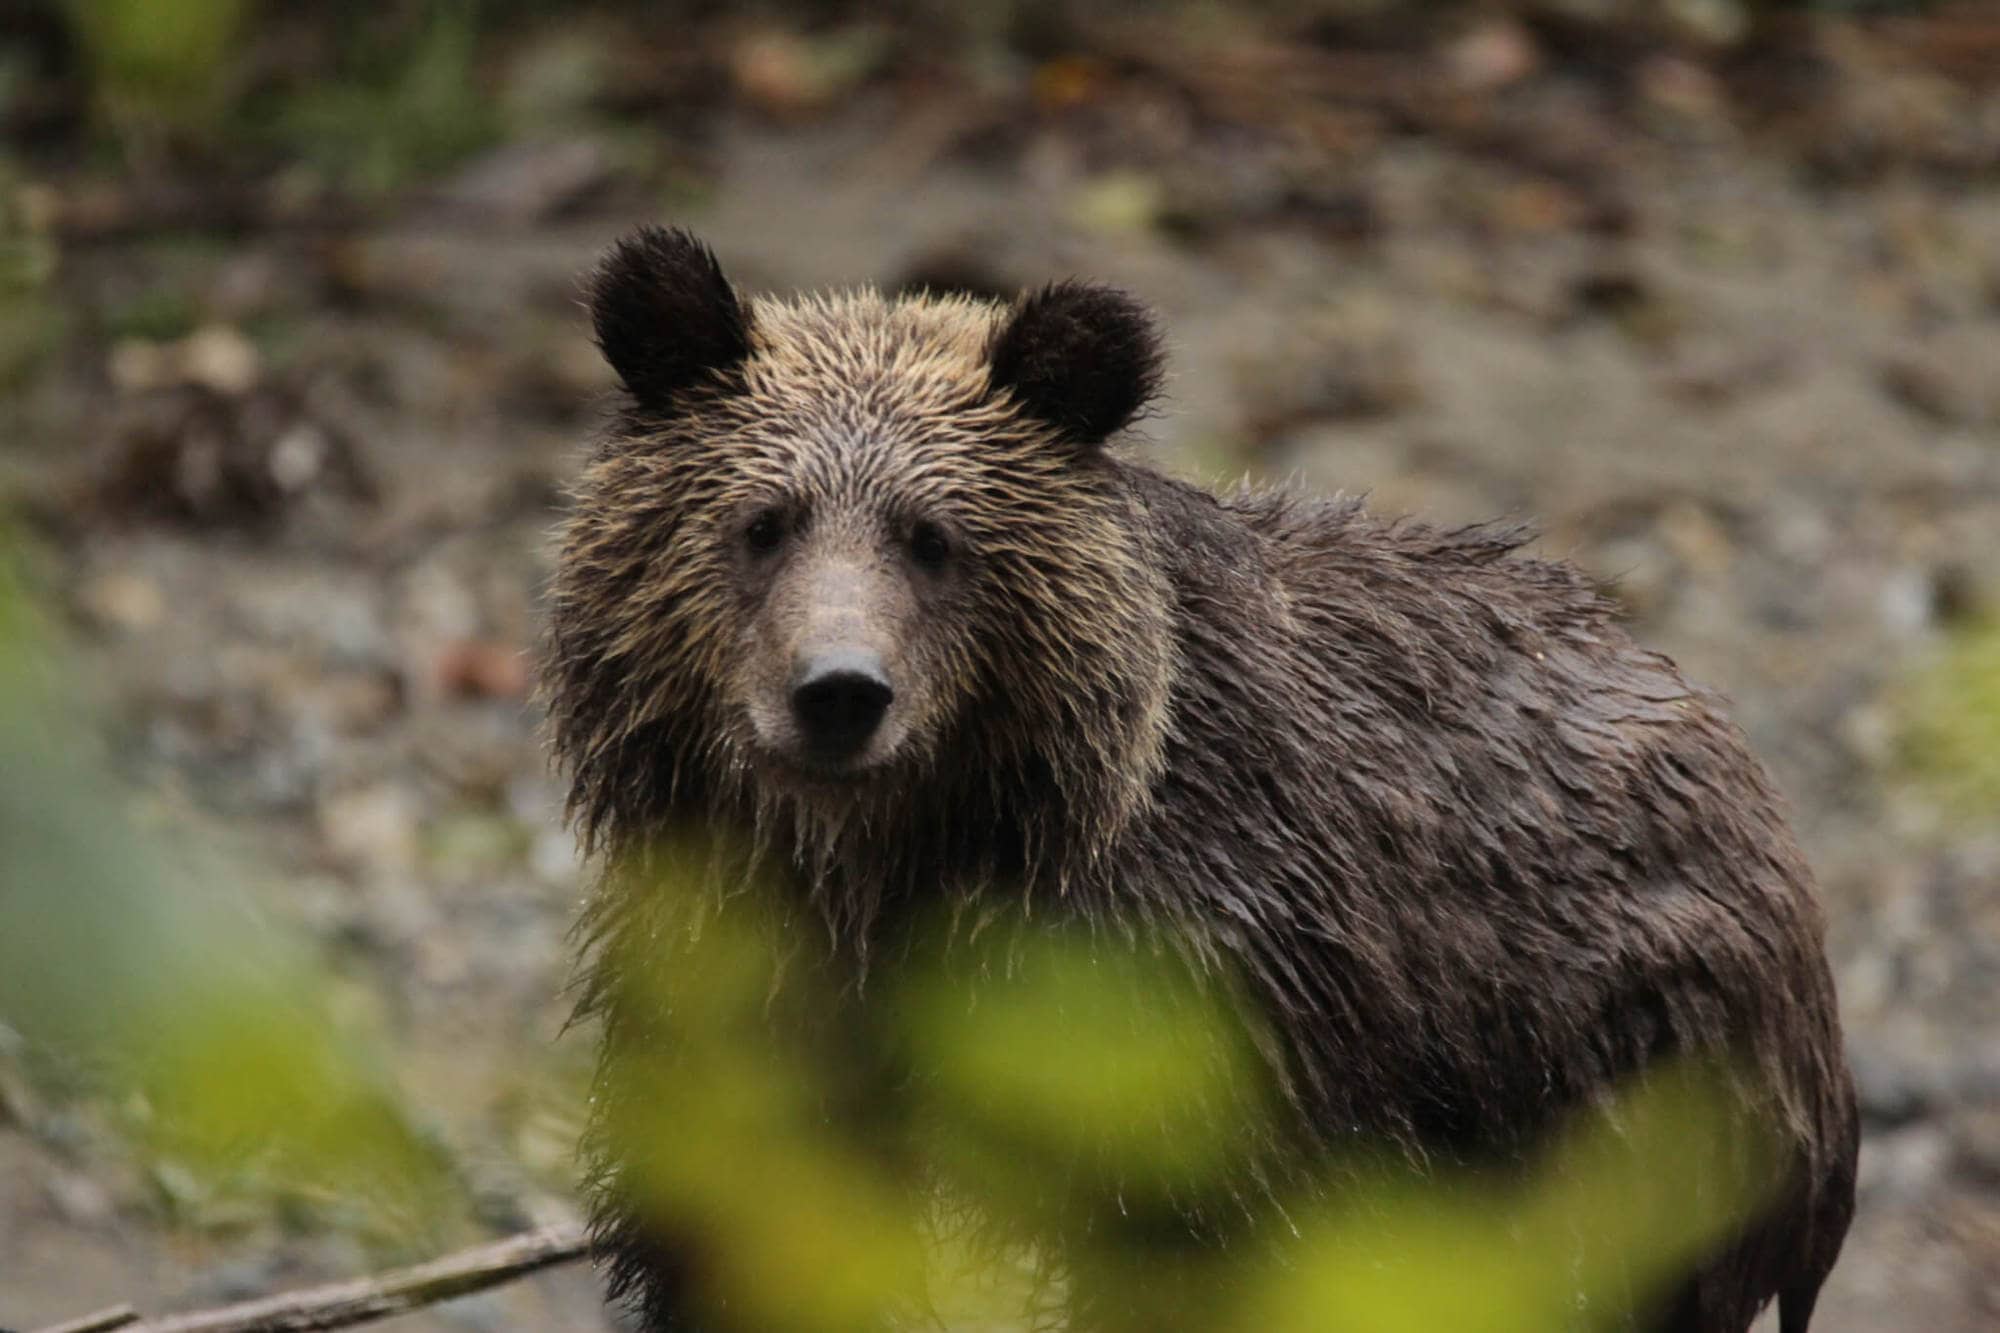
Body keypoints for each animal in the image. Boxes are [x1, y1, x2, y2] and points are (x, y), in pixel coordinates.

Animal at [548, 228, 1856, 1328]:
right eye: (762, 521)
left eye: (933, 538)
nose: (837, 692)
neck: (899, 862)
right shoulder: (739, 974)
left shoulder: (1205, 997)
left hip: (1628, 1065)